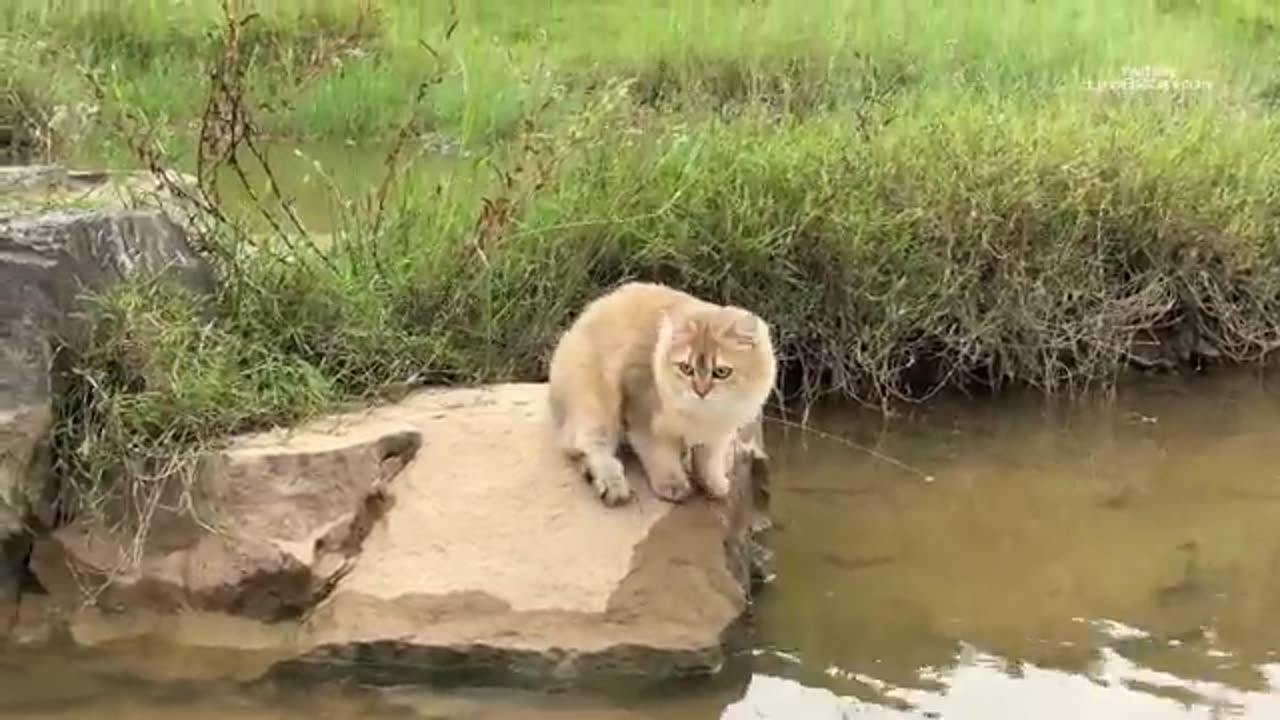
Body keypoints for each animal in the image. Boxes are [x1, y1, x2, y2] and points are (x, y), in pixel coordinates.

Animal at [545, 280, 773, 504]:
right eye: (686, 368)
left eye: (722, 372)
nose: (700, 391)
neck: (704, 414)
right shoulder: (642, 412)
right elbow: (660, 454)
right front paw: (673, 485)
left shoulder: (718, 435)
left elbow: (709, 461)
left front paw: (714, 485)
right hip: (594, 407)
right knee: (588, 447)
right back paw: (612, 485)